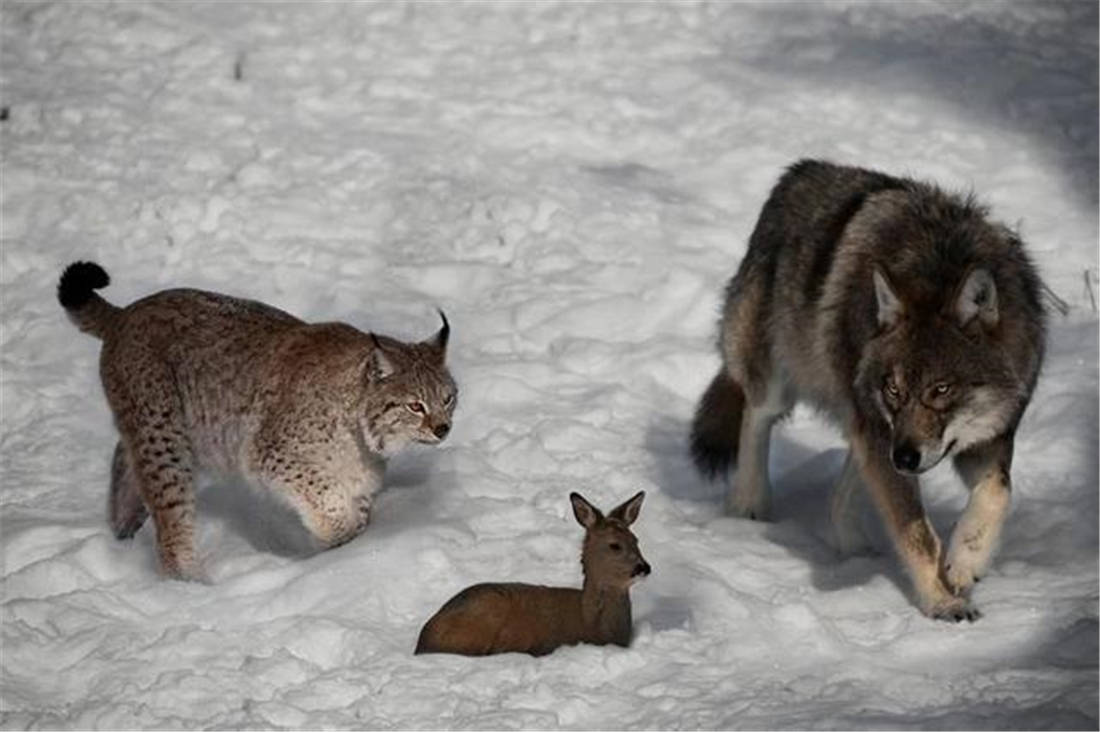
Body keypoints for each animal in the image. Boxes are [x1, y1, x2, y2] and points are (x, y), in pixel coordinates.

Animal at [59, 259, 455, 581]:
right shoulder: (268, 453)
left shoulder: (358, 479)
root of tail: (127, 312)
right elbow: (324, 496)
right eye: (415, 406)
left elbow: (355, 516)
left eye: (448, 399)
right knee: (171, 522)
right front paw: (333, 538)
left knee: (122, 454)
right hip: (165, 436)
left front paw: (344, 554)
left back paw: (123, 527)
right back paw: (190, 586)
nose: (443, 429)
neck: (361, 433)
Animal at [690, 158, 1042, 616]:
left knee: (844, 488)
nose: (906, 457)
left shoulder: (988, 439)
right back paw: (749, 507)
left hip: (868, 427)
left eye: (941, 389)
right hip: (787, 384)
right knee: (756, 416)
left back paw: (854, 549)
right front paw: (942, 603)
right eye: (893, 389)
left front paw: (964, 565)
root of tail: (799, 171)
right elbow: (917, 533)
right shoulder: (884, 434)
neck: (939, 262)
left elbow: (997, 494)